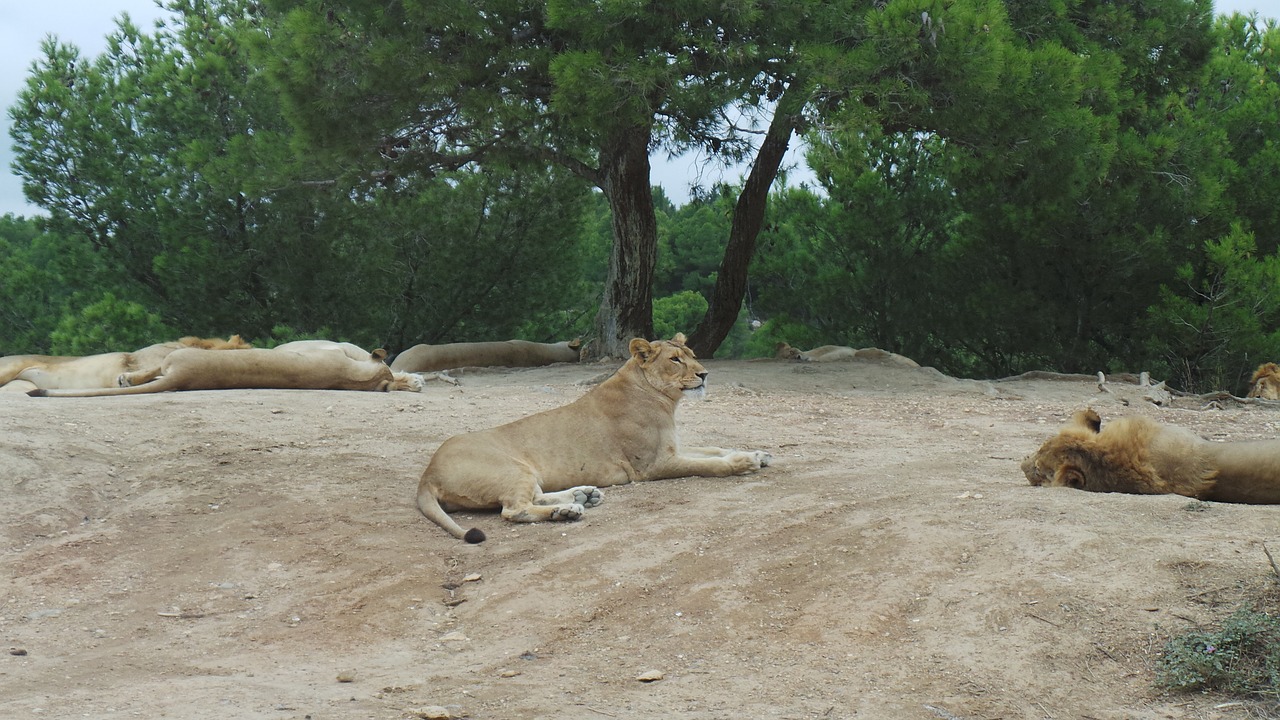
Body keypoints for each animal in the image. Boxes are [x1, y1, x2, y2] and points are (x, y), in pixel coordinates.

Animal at [417, 330, 768, 538]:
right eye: (675, 359)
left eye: (693, 355)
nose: (705, 374)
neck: (665, 400)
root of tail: (427, 473)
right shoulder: (653, 466)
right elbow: (709, 464)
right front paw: (744, 463)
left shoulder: (672, 448)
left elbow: (713, 448)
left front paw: (758, 453)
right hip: (512, 469)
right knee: (514, 509)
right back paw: (568, 511)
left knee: (532, 497)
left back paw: (581, 496)